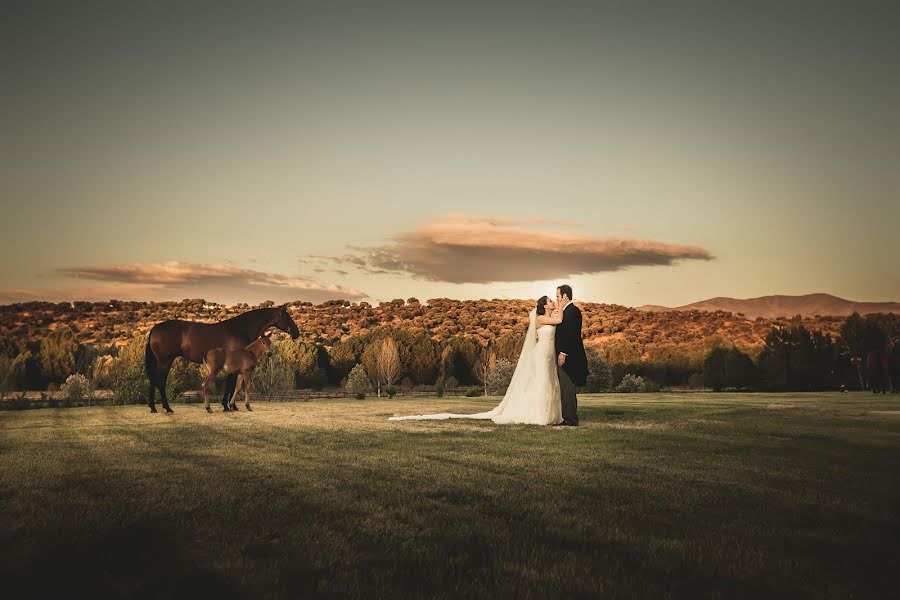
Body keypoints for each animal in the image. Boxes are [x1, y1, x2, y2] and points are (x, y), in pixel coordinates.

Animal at [144, 304, 298, 412]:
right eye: (287, 317)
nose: (297, 333)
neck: (240, 328)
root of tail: (154, 329)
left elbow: (234, 385)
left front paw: (232, 406)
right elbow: (231, 385)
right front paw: (227, 406)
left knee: (153, 381)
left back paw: (153, 408)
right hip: (165, 361)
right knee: (160, 382)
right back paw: (168, 408)